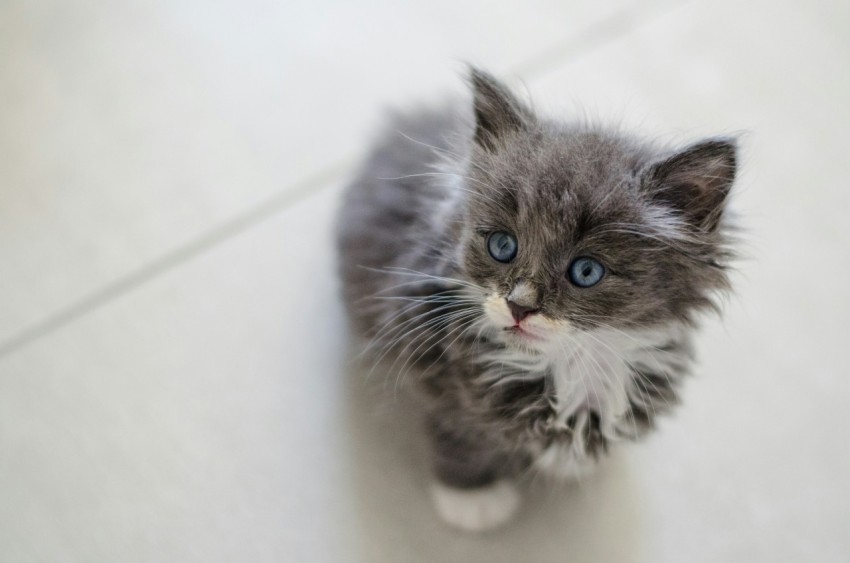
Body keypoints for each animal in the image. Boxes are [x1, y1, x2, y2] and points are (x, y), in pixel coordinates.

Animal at [334, 68, 732, 532]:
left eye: (586, 271)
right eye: (503, 245)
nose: (520, 306)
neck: (570, 366)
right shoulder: (426, 350)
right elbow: (460, 428)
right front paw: (472, 497)